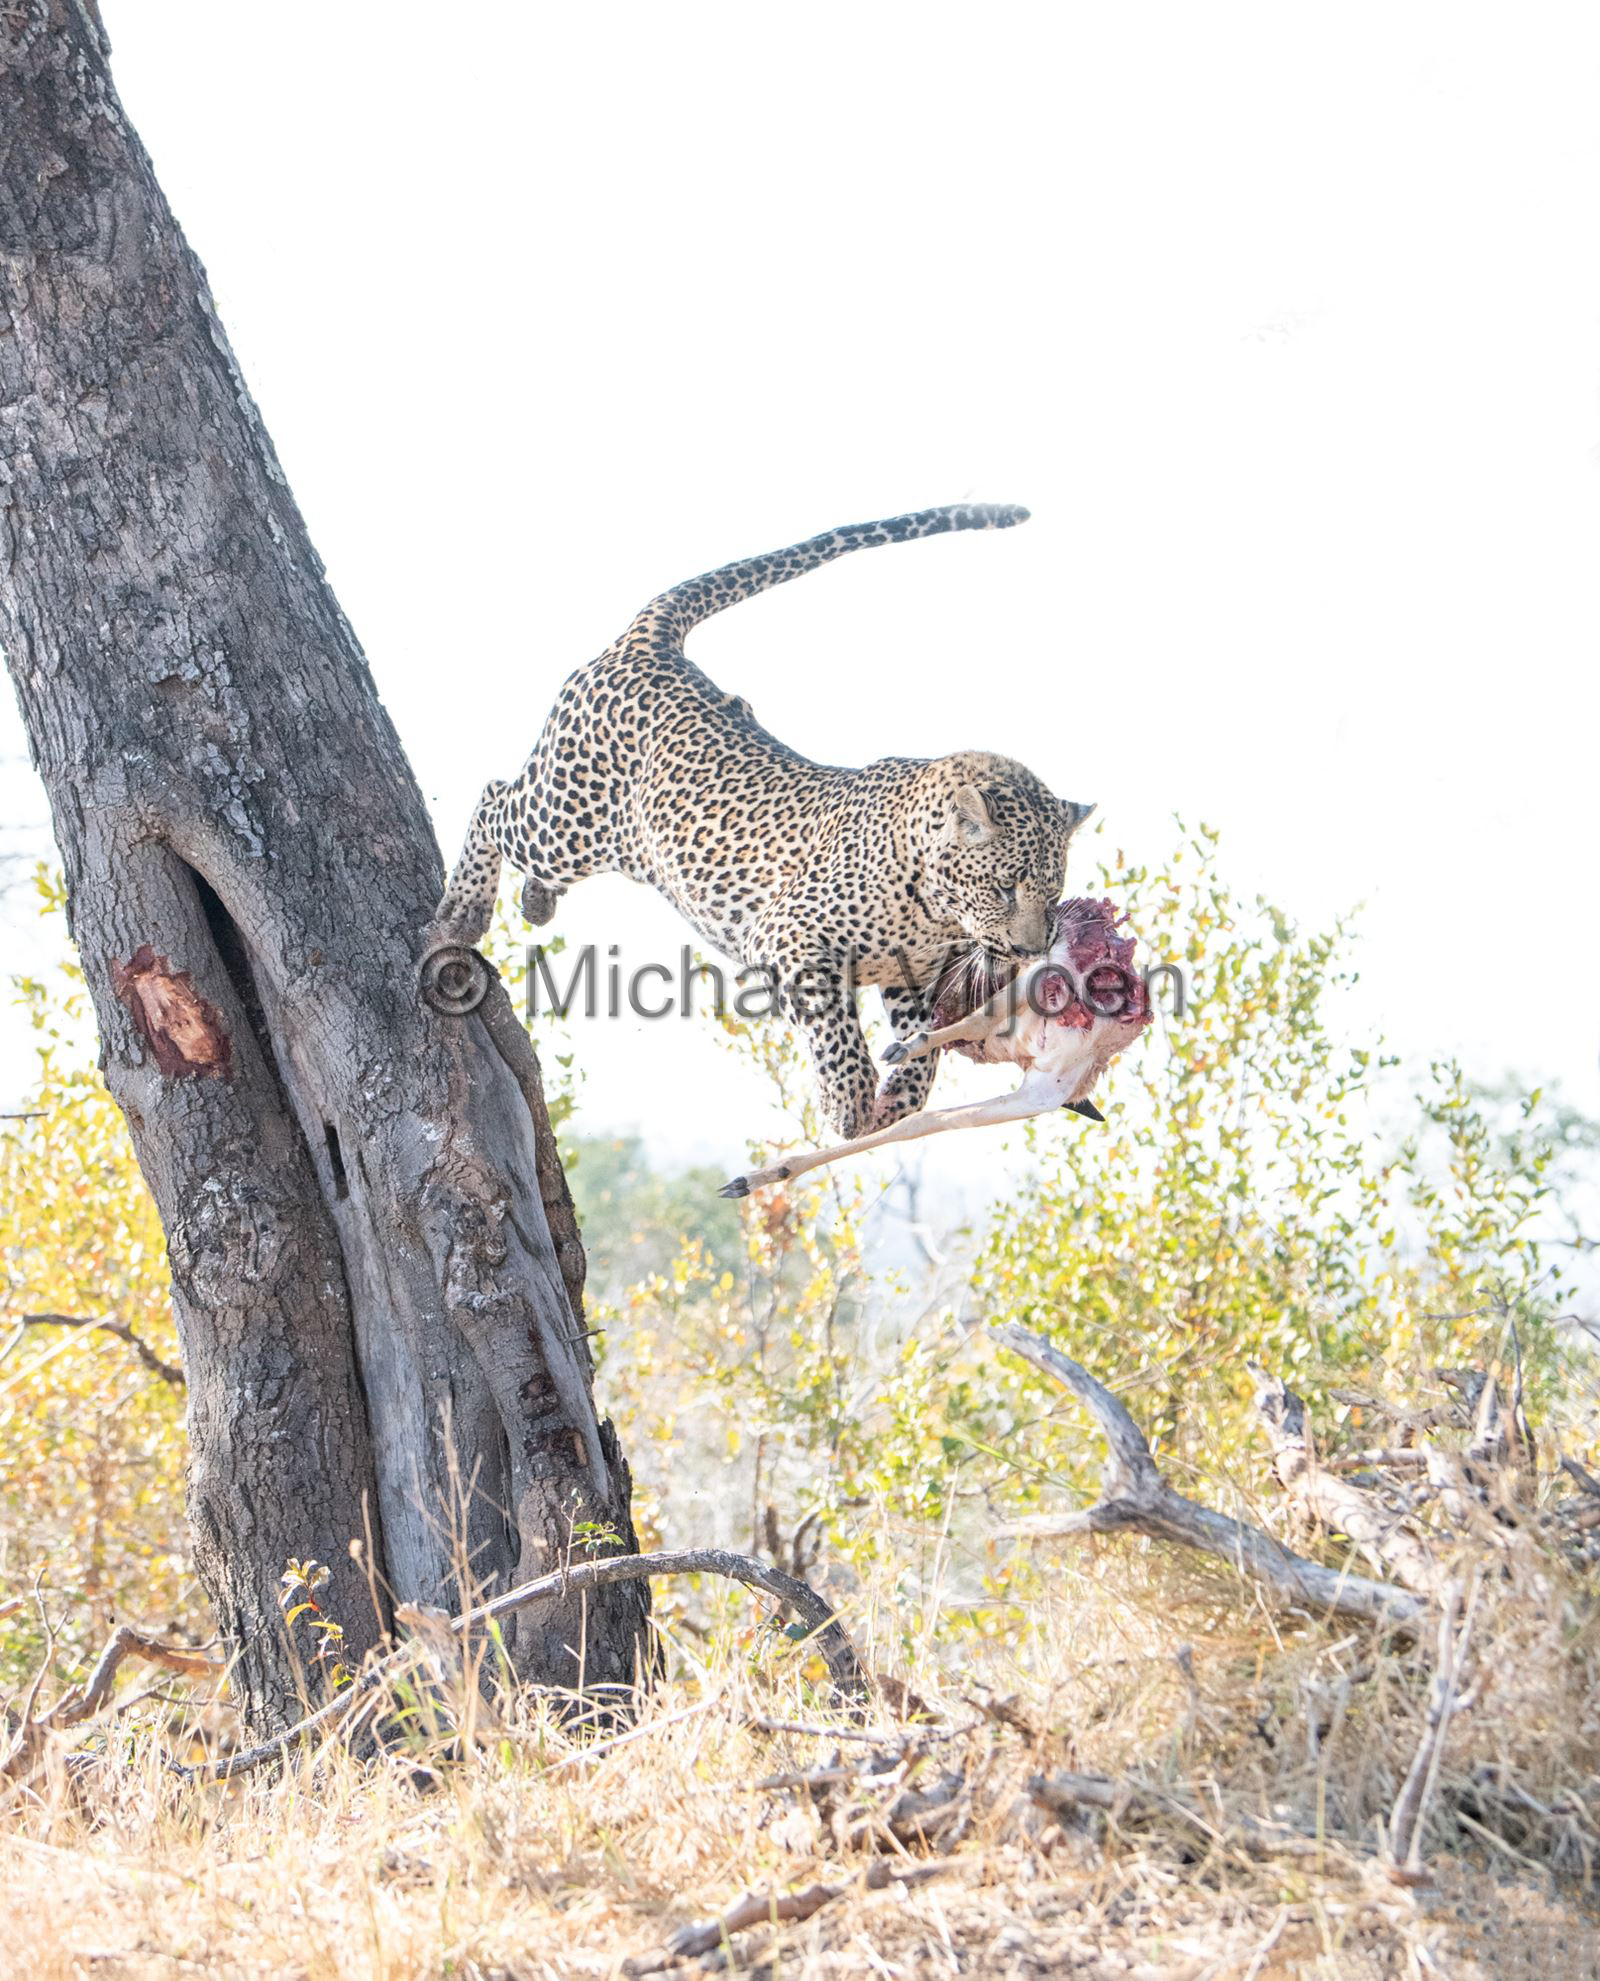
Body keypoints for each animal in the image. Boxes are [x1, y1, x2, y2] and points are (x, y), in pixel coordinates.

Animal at [431, 503, 1095, 1140]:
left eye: (1052, 896)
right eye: (1003, 888)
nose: (1030, 950)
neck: (930, 909)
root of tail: (649, 645)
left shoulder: (914, 979)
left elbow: (924, 1048)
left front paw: (897, 1102)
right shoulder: (789, 937)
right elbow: (837, 1031)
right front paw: (848, 1104)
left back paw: (535, 902)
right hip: (567, 820)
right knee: (493, 800)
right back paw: (460, 915)